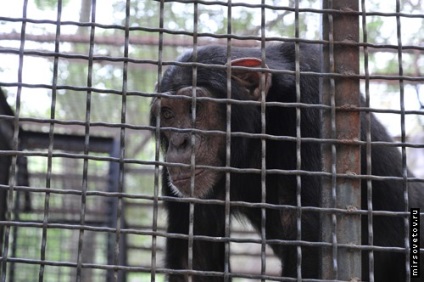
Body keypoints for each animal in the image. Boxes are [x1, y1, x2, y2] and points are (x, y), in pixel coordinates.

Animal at [150, 42, 424, 282]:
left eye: (194, 108)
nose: (179, 141)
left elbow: (313, 249)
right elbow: (195, 260)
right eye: (168, 113)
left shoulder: (312, 108)